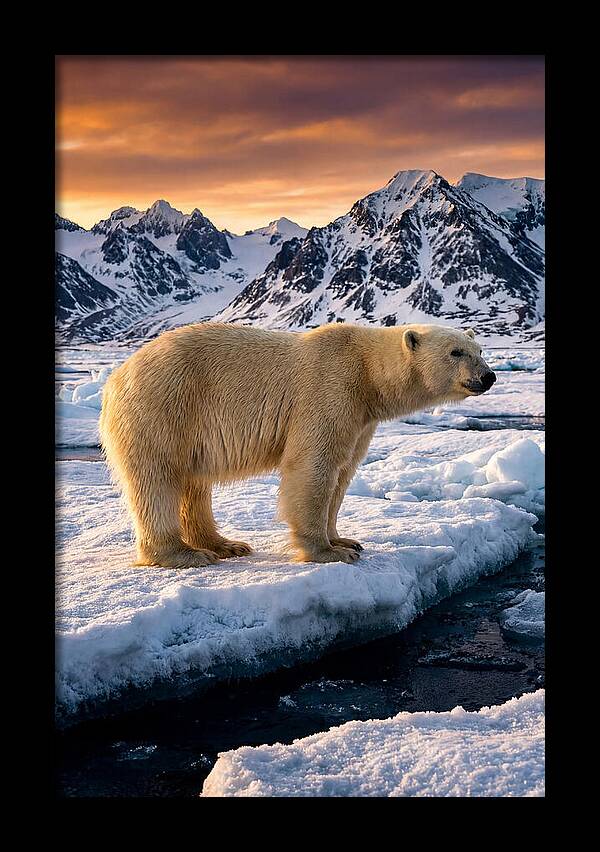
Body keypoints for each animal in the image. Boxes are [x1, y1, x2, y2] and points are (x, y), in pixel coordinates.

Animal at [99, 322, 496, 569]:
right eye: (456, 352)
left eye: (479, 349)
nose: (489, 376)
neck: (367, 372)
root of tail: (116, 377)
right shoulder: (330, 388)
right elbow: (313, 467)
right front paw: (327, 552)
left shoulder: (360, 418)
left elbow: (343, 472)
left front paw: (345, 540)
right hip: (164, 406)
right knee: (158, 478)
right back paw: (184, 554)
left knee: (194, 484)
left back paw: (225, 544)